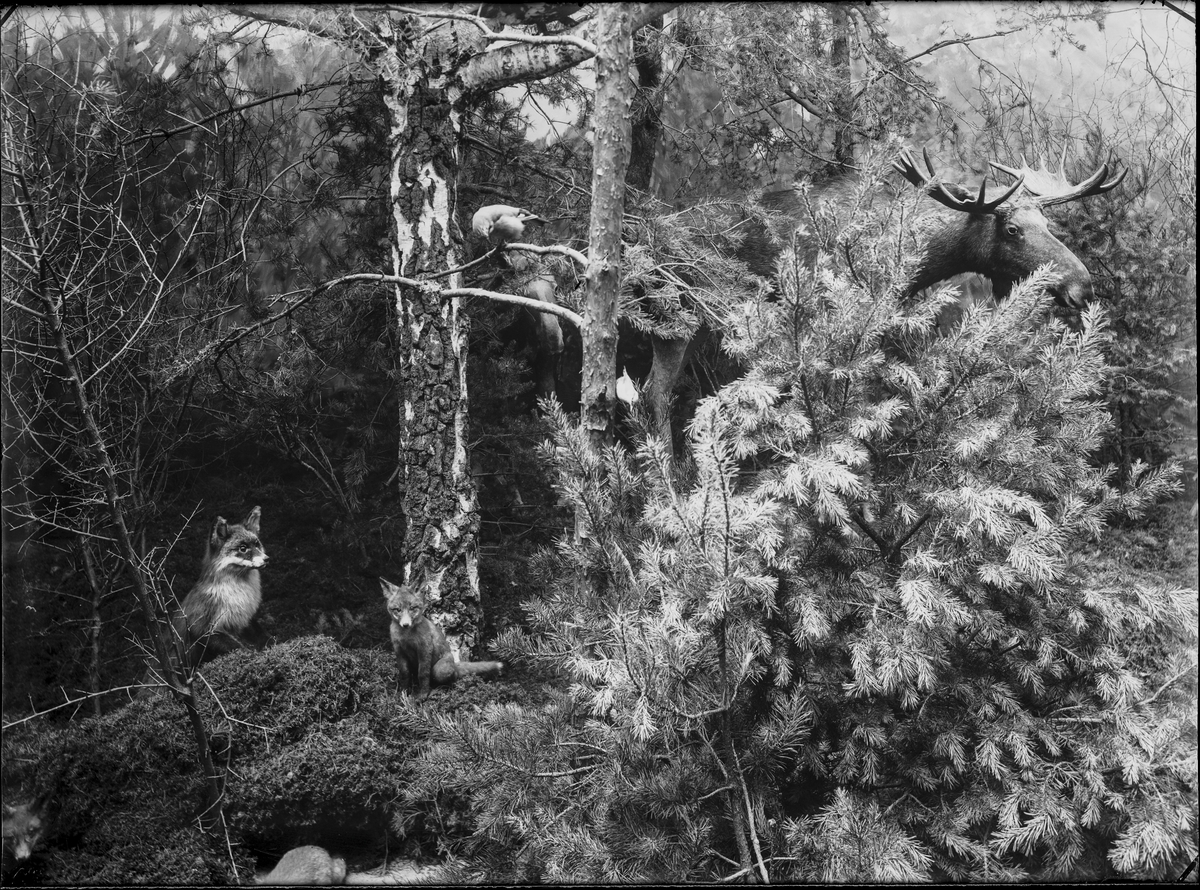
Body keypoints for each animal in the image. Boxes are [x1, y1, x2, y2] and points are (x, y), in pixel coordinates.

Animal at [379, 563, 501, 705]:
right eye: (397, 610)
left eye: (412, 608)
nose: (405, 624)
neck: (406, 637)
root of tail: (455, 665)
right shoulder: (399, 651)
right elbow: (404, 674)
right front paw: (402, 694)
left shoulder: (425, 649)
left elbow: (423, 674)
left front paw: (422, 695)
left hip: (438, 670)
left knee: (451, 680)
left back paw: (438, 690)